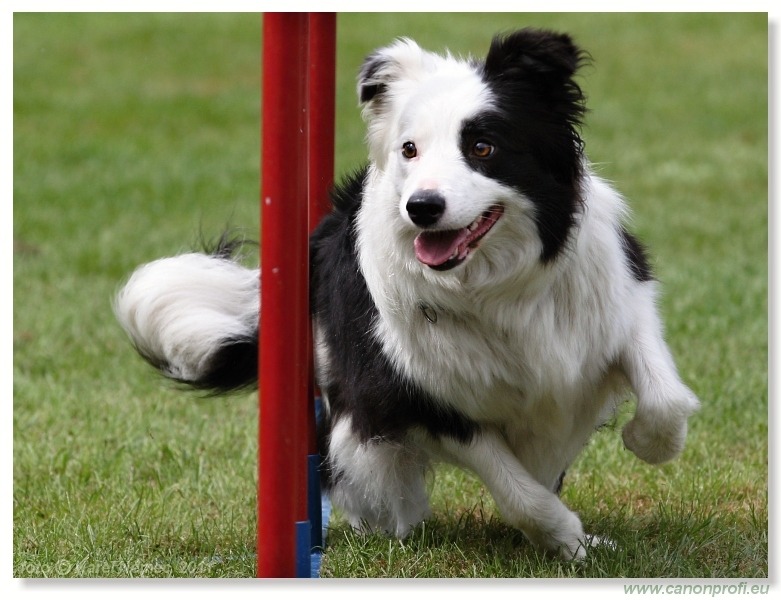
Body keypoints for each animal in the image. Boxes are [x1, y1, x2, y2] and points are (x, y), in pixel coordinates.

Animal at [116, 29, 700, 564]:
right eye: (409, 150)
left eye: (482, 147)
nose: (422, 207)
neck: (496, 286)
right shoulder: (414, 391)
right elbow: (517, 490)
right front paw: (567, 537)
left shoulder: (620, 303)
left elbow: (666, 398)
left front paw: (643, 445)